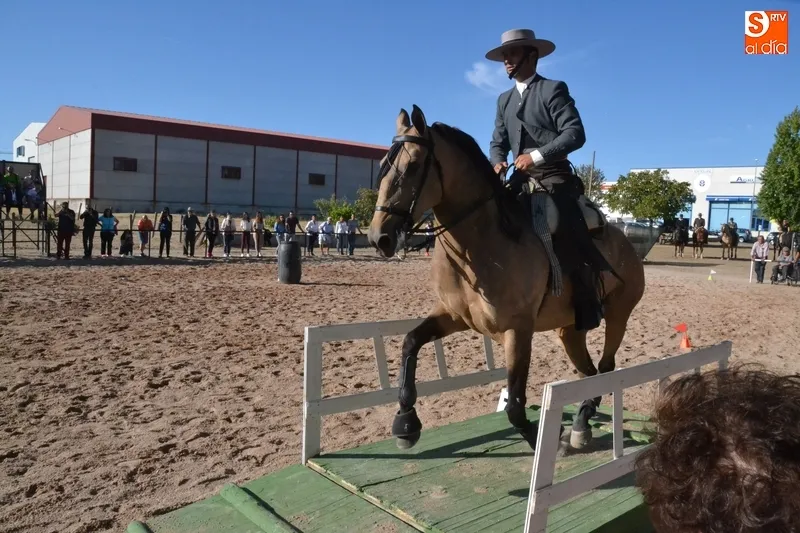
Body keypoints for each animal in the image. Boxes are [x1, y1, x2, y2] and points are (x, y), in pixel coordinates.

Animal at [367, 106, 645, 452]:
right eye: (382, 164)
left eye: (414, 164)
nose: (379, 237)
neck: (481, 242)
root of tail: (625, 242)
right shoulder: (454, 316)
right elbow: (410, 342)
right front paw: (405, 422)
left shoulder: (518, 331)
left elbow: (514, 405)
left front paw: (547, 442)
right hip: (570, 330)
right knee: (589, 372)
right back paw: (581, 422)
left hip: (618, 315)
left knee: (605, 369)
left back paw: (580, 426)